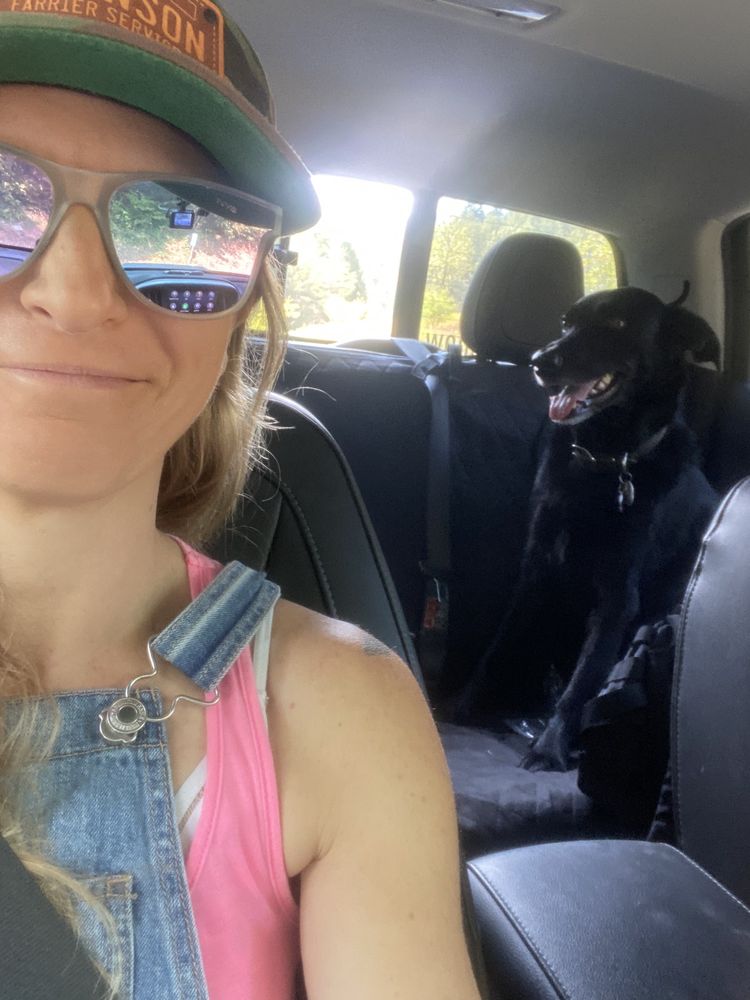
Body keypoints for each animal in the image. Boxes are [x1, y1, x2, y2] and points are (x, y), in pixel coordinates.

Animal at [454, 284, 720, 771]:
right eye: (566, 322)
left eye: (617, 323)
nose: (539, 361)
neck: (604, 460)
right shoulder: (537, 569)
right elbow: (500, 646)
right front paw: (461, 706)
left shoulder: (617, 598)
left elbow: (585, 678)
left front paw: (550, 746)